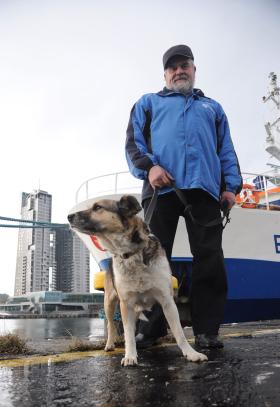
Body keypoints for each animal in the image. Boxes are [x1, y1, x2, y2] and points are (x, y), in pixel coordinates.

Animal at [68, 194, 208, 366]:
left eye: (97, 207)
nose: (69, 216)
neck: (131, 253)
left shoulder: (167, 302)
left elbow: (179, 333)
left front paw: (191, 353)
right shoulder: (125, 304)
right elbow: (128, 334)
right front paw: (130, 355)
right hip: (109, 303)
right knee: (111, 325)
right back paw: (110, 344)